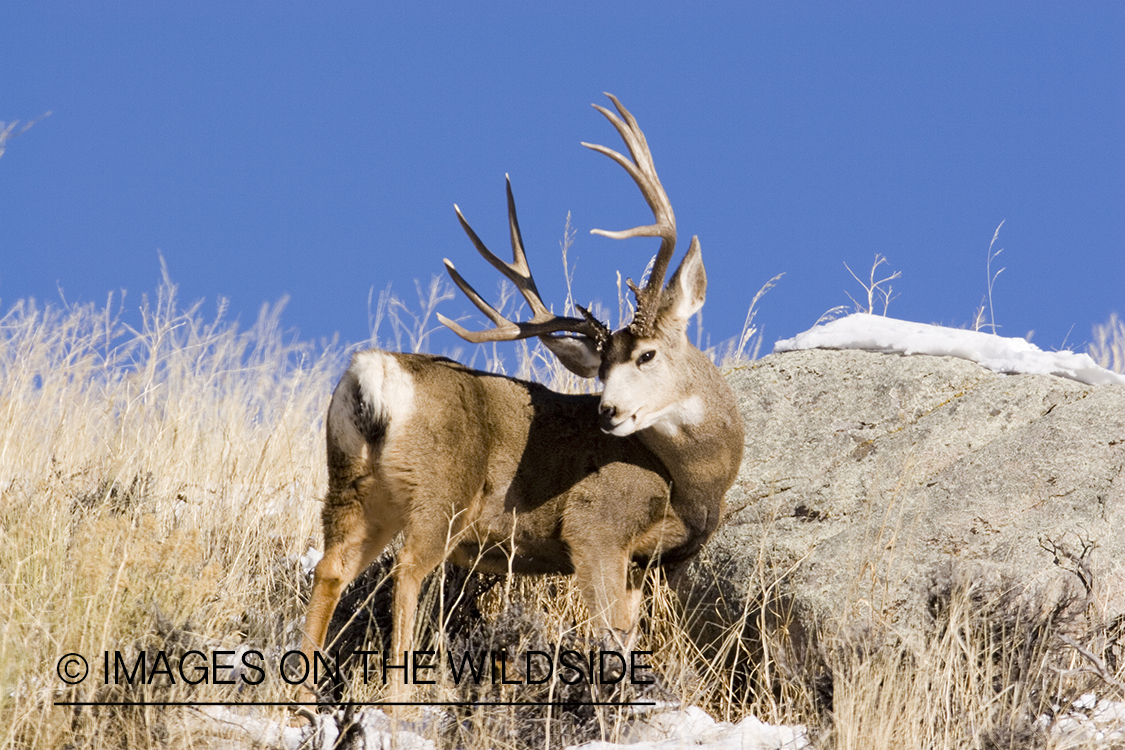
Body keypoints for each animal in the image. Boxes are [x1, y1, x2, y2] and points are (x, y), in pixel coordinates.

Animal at [299, 95, 744, 699]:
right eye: (604, 368)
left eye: (646, 356)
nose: (607, 412)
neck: (694, 482)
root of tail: (373, 374)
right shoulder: (596, 526)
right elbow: (610, 634)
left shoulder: (646, 564)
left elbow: (628, 635)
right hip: (443, 488)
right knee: (407, 571)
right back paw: (399, 700)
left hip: (353, 485)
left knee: (331, 568)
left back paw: (295, 698)